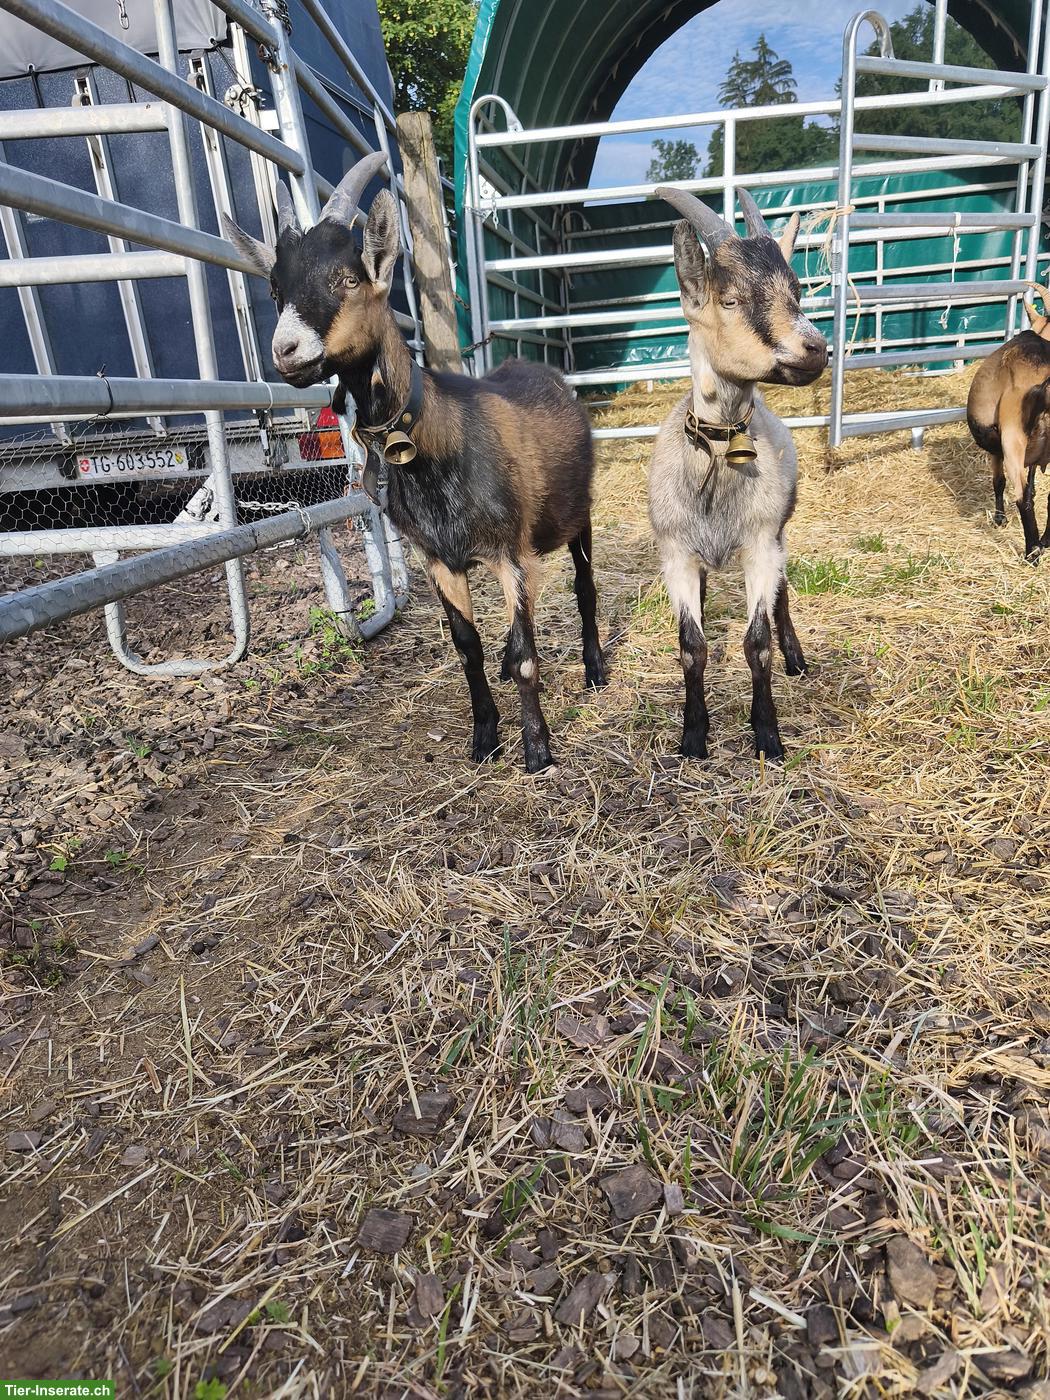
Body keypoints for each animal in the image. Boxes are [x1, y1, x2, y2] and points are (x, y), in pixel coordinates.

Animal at [223, 152, 606, 773]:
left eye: (348, 278)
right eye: (276, 287)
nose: (287, 351)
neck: (436, 443)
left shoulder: (511, 552)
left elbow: (529, 651)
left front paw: (537, 749)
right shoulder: (440, 559)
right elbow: (467, 648)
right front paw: (484, 738)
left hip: (578, 516)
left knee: (584, 587)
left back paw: (595, 669)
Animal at [647, 186, 827, 761]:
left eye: (797, 293)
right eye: (729, 300)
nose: (815, 348)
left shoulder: (760, 544)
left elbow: (757, 641)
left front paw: (767, 734)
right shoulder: (677, 554)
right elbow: (691, 645)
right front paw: (693, 736)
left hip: (780, 532)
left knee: (783, 593)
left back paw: (797, 657)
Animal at [966, 289, 1050, 562]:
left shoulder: (997, 446)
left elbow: (999, 481)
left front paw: (999, 520)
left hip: (1013, 439)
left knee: (1022, 498)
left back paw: (1032, 552)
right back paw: (1044, 542)